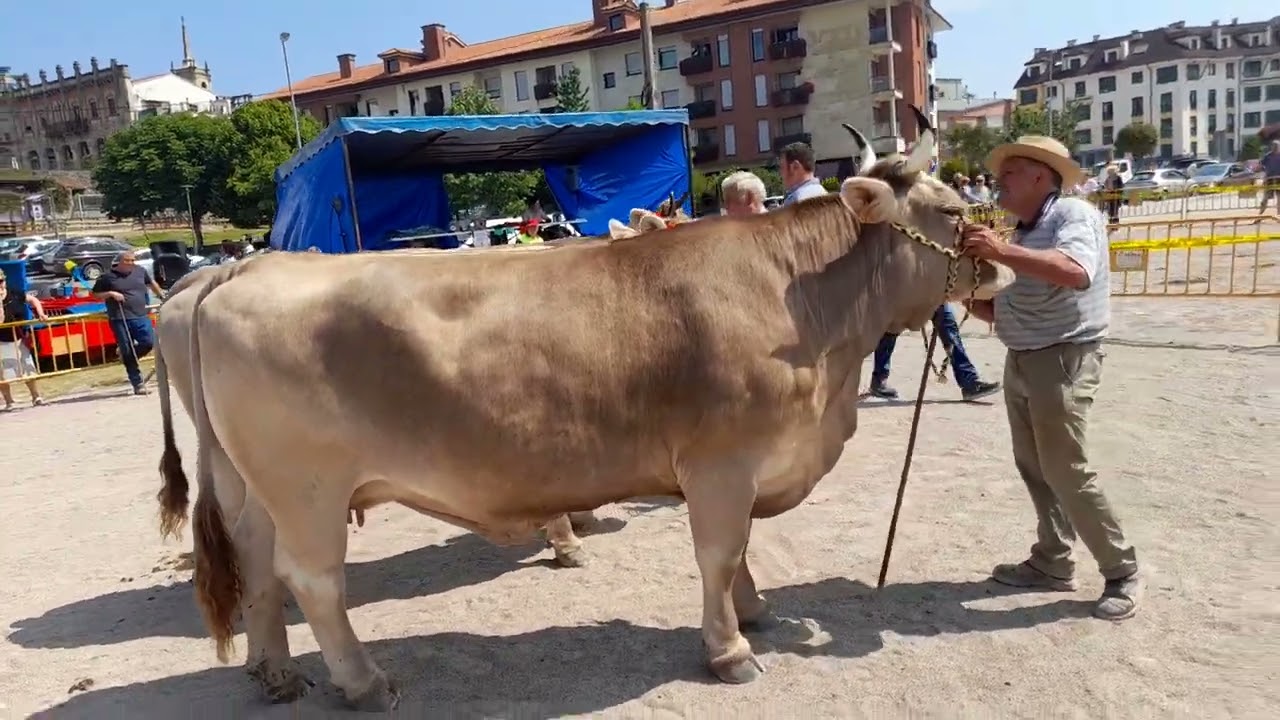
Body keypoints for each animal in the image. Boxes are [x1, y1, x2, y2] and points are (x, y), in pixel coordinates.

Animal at [155, 110, 1013, 710]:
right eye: (947, 210)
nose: (997, 266)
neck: (803, 306)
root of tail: (241, 268)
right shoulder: (721, 462)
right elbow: (719, 553)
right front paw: (729, 649)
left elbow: (739, 554)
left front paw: (755, 611)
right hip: (308, 487)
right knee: (313, 578)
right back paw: (365, 682)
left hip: (253, 483)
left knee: (256, 560)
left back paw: (274, 673)